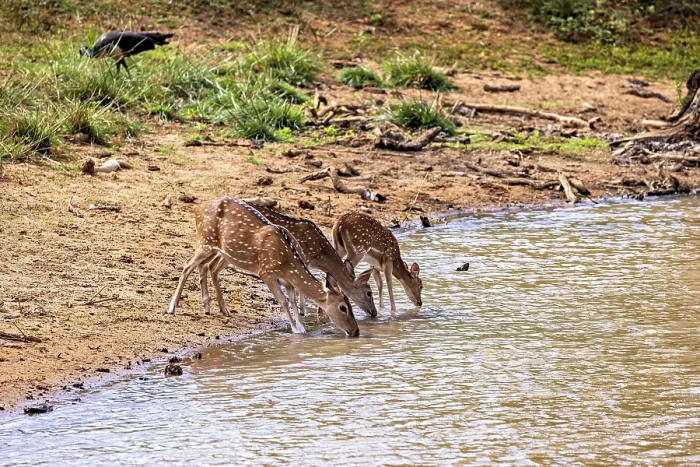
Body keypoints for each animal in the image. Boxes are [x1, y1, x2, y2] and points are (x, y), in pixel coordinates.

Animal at [168, 197, 360, 337]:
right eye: (343, 307)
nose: (356, 331)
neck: (288, 261)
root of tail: (197, 208)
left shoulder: (287, 281)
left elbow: (293, 302)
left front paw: (302, 329)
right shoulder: (266, 272)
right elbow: (283, 301)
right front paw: (295, 330)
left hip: (221, 251)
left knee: (206, 267)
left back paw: (214, 309)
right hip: (205, 241)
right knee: (187, 265)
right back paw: (172, 308)